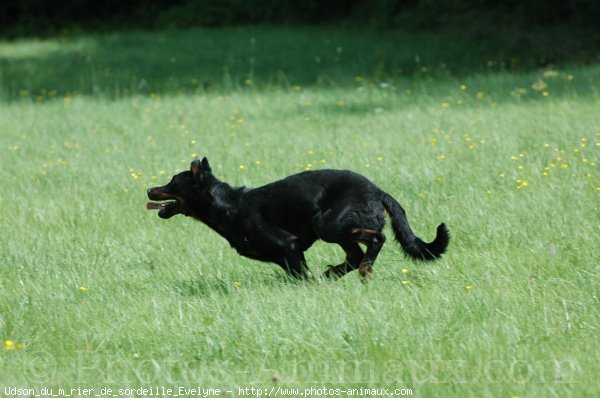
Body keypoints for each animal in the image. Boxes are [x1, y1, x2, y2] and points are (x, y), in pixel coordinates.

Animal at [148, 159, 448, 280]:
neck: (229, 205)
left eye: (172, 182)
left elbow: (305, 278)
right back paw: (334, 273)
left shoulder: (289, 247)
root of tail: (379, 192)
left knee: (377, 239)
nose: (149, 189)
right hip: (334, 228)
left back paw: (364, 270)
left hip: (328, 223)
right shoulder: (287, 256)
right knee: (354, 255)